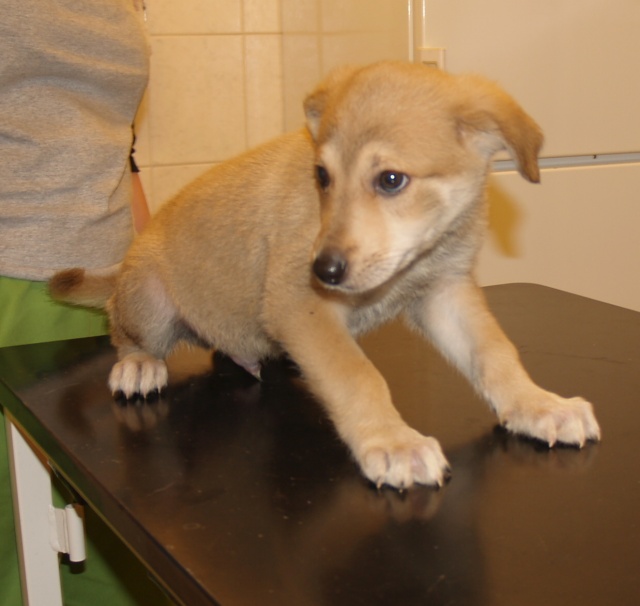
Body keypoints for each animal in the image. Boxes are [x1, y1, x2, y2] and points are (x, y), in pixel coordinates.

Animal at [50, 61, 600, 489]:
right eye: (322, 176)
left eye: (391, 180)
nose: (324, 270)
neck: (414, 262)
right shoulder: (300, 305)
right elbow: (357, 375)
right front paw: (392, 442)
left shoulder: (444, 293)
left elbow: (494, 354)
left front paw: (538, 405)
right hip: (148, 296)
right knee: (124, 334)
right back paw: (139, 366)